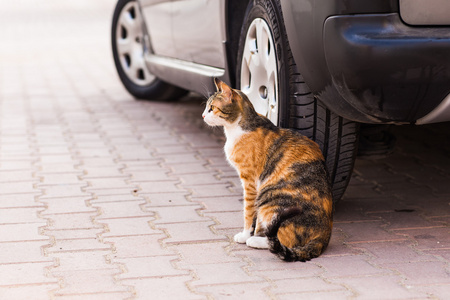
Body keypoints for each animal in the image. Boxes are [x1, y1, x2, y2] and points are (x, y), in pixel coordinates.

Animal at [202, 78, 332, 262]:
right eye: (207, 107)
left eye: (212, 108)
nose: (203, 115)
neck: (240, 127)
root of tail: (324, 236)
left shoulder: (250, 182)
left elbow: (249, 213)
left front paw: (246, 235)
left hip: (270, 197)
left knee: (283, 239)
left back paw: (257, 241)